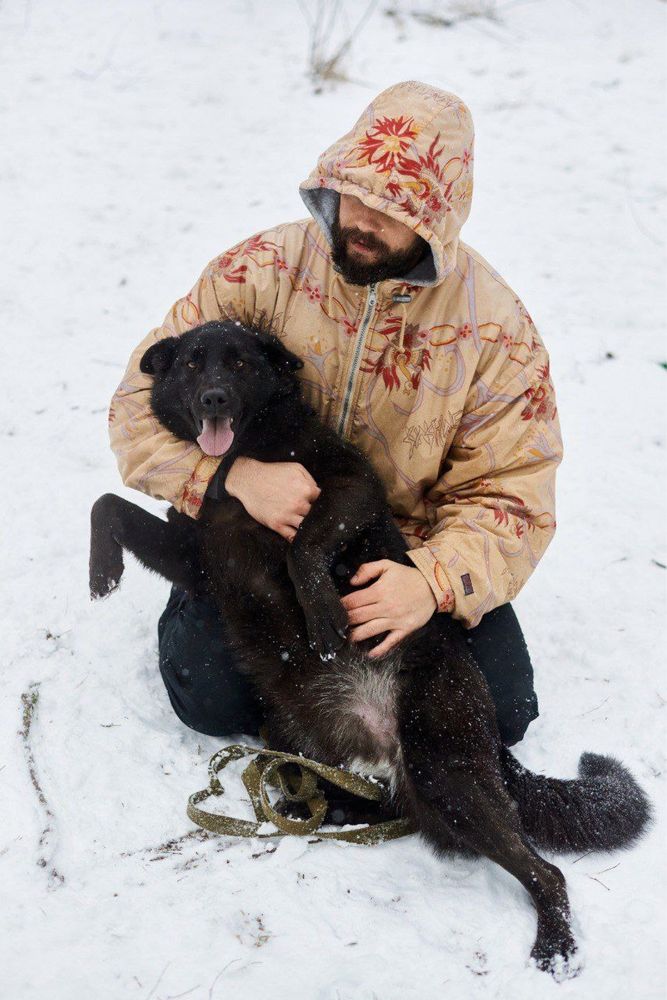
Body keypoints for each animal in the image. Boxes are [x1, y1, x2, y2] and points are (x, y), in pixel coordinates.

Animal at [90, 322, 652, 976]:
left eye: (239, 363)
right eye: (190, 364)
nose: (214, 398)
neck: (248, 447)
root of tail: (489, 743)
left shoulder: (349, 486)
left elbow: (302, 545)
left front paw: (324, 613)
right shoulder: (198, 561)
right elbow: (109, 506)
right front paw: (101, 574)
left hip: (444, 770)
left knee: (546, 871)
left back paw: (555, 945)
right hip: (294, 733)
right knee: (382, 803)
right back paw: (321, 812)